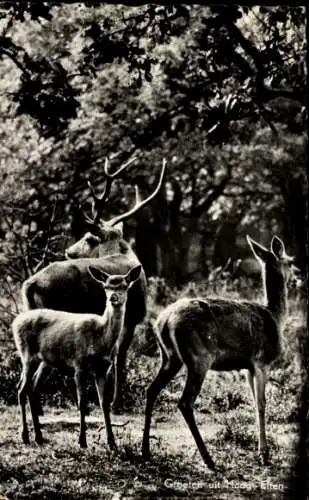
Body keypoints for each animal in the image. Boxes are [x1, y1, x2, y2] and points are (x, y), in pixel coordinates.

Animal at [12, 264, 141, 448]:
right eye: (106, 287)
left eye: (124, 285)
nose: (113, 298)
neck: (101, 337)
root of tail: (15, 322)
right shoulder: (79, 363)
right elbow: (82, 402)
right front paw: (82, 440)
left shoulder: (102, 369)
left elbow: (104, 403)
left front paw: (112, 442)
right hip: (27, 354)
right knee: (21, 389)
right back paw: (25, 436)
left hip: (45, 361)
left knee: (32, 388)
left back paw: (38, 436)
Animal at [21, 158, 166, 412]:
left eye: (89, 239)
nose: (69, 251)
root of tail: (29, 285)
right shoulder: (134, 316)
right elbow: (120, 358)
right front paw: (117, 402)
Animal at [141, 234, 298, 468]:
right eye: (289, 260)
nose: (298, 276)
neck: (276, 317)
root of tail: (164, 321)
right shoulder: (261, 361)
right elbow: (262, 404)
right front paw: (264, 454)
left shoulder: (248, 367)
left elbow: (254, 402)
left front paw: (260, 451)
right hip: (199, 357)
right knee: (185, 402)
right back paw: (208, 459)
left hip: (169, 357)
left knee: (151, 390)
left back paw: (145, 451)